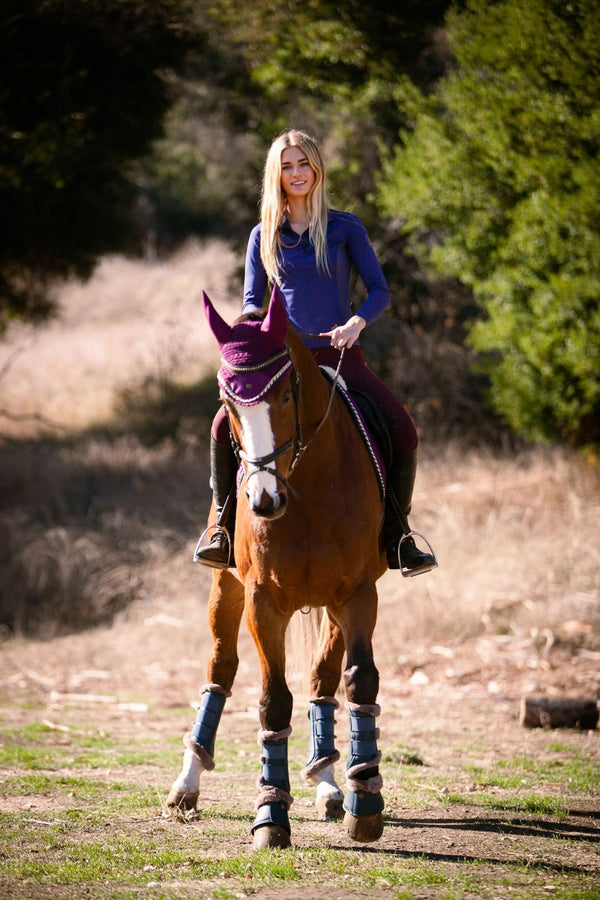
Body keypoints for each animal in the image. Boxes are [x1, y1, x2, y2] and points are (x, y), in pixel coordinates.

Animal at [166, 290, 386, 852]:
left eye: (286, 395)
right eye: (228, 404)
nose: (263, 501)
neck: (304, 486)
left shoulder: (358, 594)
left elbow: (359, 681)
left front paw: (365, 798)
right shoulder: (263, 601)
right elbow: (272, 701)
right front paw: (270, 812)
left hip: (332, 605)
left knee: (323, 678)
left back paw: (330, 781)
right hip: (225, 589)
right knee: (220, 670)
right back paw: (187, 783)